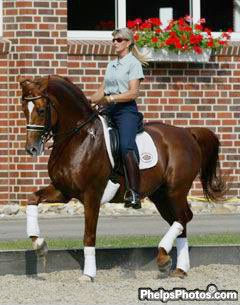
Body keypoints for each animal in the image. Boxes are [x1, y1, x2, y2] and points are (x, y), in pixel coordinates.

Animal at [19, 75, 225, 280]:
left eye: (41, 110)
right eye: (23, 110)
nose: (32, 149)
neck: (79, 138)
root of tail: (187, 132)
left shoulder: (92, 195)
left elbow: (89, 234)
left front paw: (88, 274)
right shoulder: (64, 191)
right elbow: (32, 198)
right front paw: (39, 244)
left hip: (176, 191)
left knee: (185, 217)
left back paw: (163, 256)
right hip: (161, 196)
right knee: (180, 221)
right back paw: (178, 268)